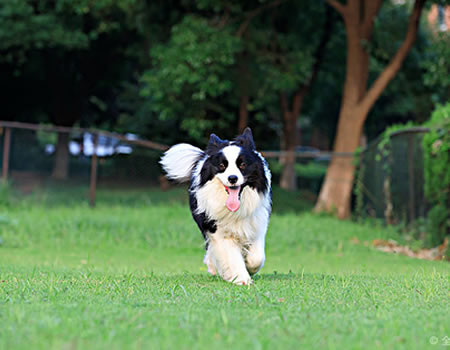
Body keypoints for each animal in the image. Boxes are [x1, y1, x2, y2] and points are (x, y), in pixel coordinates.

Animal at [160, 128, 270, 284]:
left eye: (242, 165)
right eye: (222, 166)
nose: (232, 178)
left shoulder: (257, 222)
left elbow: (257, 258)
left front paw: (248, 267)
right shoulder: (218, 229)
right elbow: (231, 255)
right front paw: (241, 278)